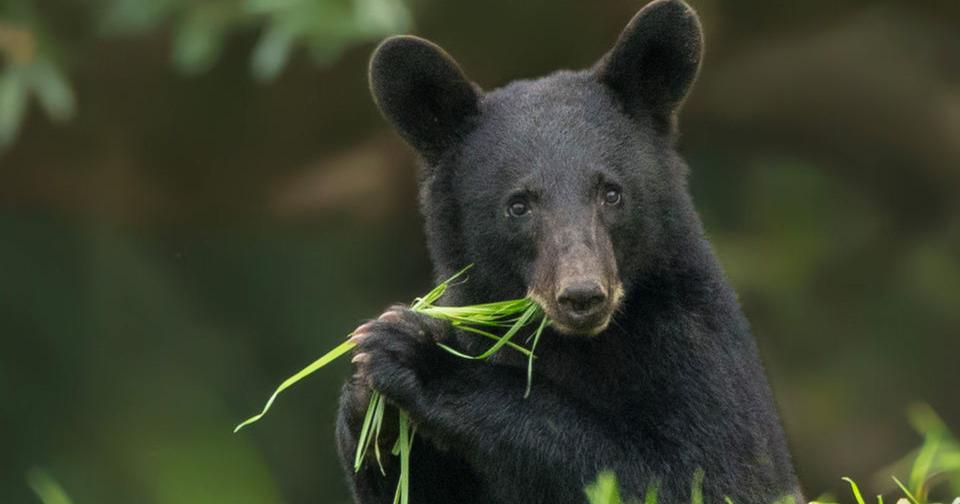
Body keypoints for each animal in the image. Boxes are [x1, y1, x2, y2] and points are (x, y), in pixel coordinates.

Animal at [335, 1, 803, 503]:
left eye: (611, 193)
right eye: (518, 205)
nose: (582, 295)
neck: (576, 345)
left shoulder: (696, 346)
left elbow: (704, 471)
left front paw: (417, 350)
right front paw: (368, 402)